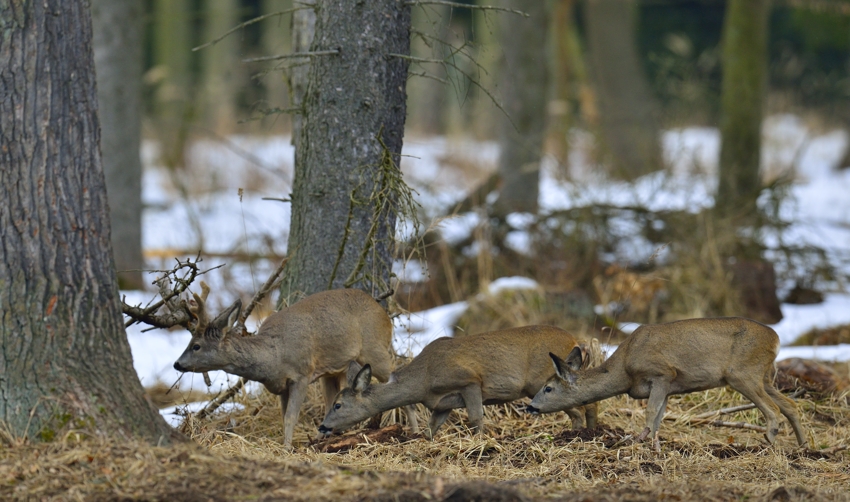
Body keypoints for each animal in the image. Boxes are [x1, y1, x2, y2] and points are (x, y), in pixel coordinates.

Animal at [172, 286, 418, 448]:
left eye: (196, 346)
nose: (177, 363)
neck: (273, 357)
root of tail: (385, 313)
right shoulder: (281, 385)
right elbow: (284, 417)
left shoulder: (301, 374)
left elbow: (291, 417)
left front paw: (287, 448)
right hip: (334, 368)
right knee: (332, 400)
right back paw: (324, 439)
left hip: (374, 349)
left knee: (397, 377)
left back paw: (415, 432)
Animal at [316, 326, 596, 440]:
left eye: (338, 405)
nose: (322, 426)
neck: (424, 379)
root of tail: (574, 339)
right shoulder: (442, 404)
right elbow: (431, 428)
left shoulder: (469, 380)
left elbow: (475, 418)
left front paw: (482, 443)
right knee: (582, 406)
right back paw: (582, 433)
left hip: (541, 381)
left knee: (582, 403)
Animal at [524, 316, 808, 450]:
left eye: (548, 388)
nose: (530, 407)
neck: (625, 367)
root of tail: (776, 339)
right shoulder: (669, 387)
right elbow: (659, 416)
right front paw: (654, 443)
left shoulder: (662, 374)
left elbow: (651, 413)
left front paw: (641, 441)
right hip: (765, 376)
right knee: (790, 405)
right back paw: (804, 446)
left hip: (743, 373)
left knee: (773, 408)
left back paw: (770, 439)